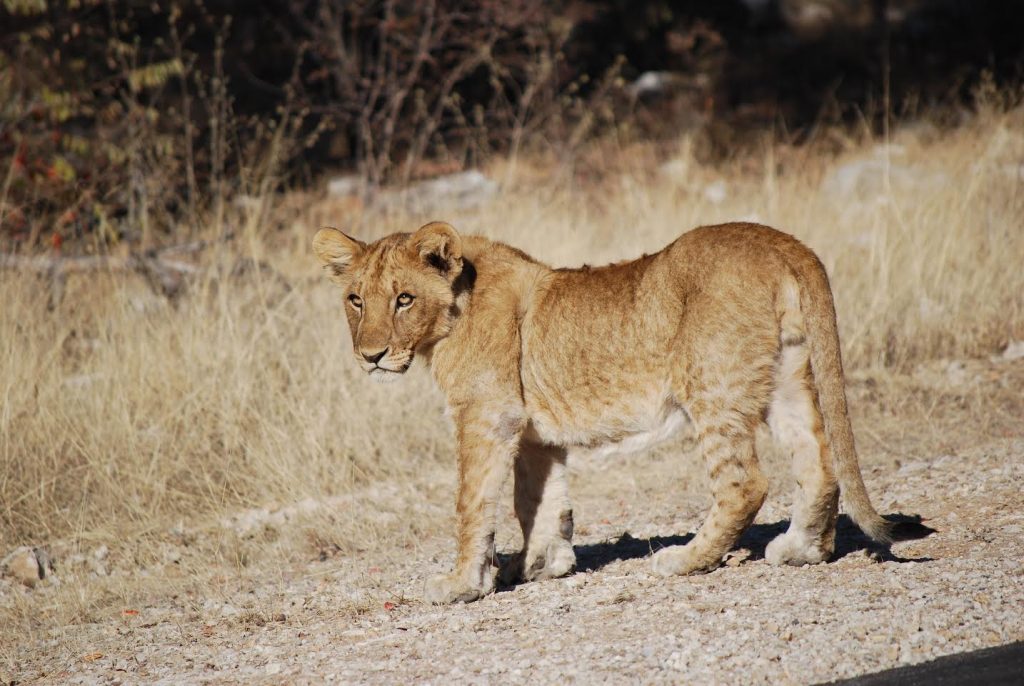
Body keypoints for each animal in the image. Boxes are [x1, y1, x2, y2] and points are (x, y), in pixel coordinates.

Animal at [313, 220, 932, 604]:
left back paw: (687, 559)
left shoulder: (486, 417)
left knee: (744, 482)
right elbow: (538, 501)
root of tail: (779, 240)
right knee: (818, 463)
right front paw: (541, 565)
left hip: (710, 382)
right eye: (356, 300)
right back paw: (802, 550)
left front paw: (464, 583)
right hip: (785, 376)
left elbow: (474, 504)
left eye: (404, 299)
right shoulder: (534, 433)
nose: (370, 355)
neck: (452, 311)